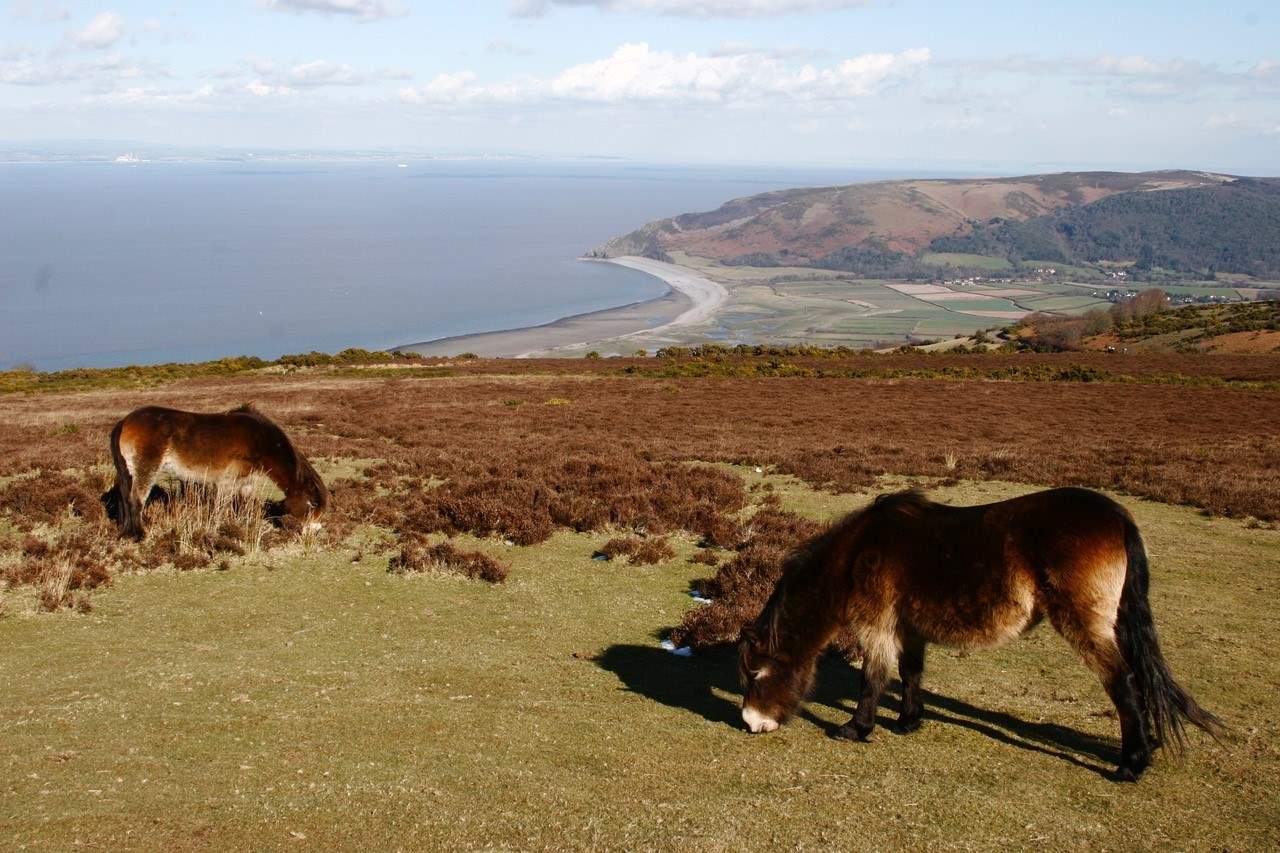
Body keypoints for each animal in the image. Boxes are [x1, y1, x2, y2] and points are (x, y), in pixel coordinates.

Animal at [104, 404, 329, 540]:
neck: (259, 439)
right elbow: (222, 506)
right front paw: (222, 529)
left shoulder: (245, 481)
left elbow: (242, 504)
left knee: (124, 497)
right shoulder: (227, 481)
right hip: (145, 469)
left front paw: (241, 525)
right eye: (312, 504)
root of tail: (124, 422)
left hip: (128, 472)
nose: (315, 533)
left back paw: (126, 531)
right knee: (136, 499)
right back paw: (140, 534)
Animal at [737, 487, 1222, 782]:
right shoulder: (908, 629)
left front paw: (856, 729)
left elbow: (872, 680)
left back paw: (1130, 765)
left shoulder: (877, 628)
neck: (856, 556)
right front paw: (909, 722)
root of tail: (1119, 518)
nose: (751, 724)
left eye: (756, 675)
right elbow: (911, 673)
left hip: (1086, 625)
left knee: (1124, 683)